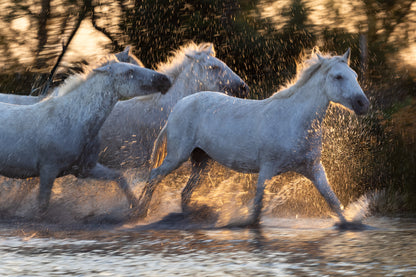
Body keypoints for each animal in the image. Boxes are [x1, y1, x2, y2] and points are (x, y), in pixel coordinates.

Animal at [0, 58, 171, 213]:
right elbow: (43, 205)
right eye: (129, 72)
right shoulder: (49, 170)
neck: (73, 119)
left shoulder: (85, 168)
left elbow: (119, 177)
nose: (165, 80)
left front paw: (137, 208)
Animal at [136, 49, 370, 226]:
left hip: (202, 161)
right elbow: (257, 207)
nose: (363, 104)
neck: (294, 120)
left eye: (355, 75)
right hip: (178, 156)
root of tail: (179, 105)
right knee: (154, 176)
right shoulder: (267, 168)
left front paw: (350, 224)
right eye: (338, 76)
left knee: (185, 192)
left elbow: (333, 200)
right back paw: (140, 212)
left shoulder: (314, 168)